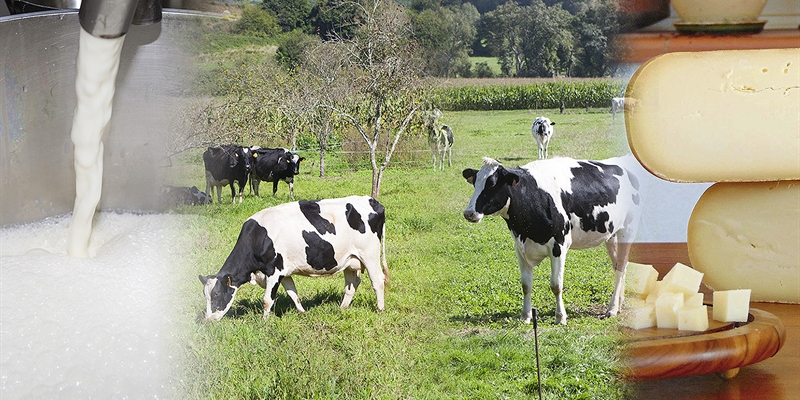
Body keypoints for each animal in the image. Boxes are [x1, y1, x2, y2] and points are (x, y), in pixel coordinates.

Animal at [198, 195, 390, 320]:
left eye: (216, 295)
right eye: (206, 296)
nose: (208, 320)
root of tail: (372, 200)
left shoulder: (274, 270)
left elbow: (267, 300)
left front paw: (264, 322)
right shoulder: (284, 271)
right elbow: (293, 293)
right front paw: (302, 312)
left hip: (369, 254)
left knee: (377, 280)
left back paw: (380, 309)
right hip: (350, 259)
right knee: (352, 284)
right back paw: (341, 308)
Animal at [460, 156, 640, 324]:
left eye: (492, 184)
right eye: (475, 183)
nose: (468, 213)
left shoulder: (558, 246)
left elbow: (556, 285)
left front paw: (560, 317)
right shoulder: (520, 247)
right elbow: (526, 285)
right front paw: (525, 316)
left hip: (627, 230)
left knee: (620, 268)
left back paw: (612, 309)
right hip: (611, 234)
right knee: (619, 265)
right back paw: (619, 304)